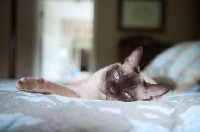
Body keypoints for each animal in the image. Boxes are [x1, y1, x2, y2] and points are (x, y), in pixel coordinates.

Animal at [16, 47, 171, 101]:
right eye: (117, 75)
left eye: (127, 94)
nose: (112, 89)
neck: (94, 86)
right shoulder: (81, 82)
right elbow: (65, 83)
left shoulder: (78, 93)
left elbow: (52, 85)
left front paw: (22, 84)